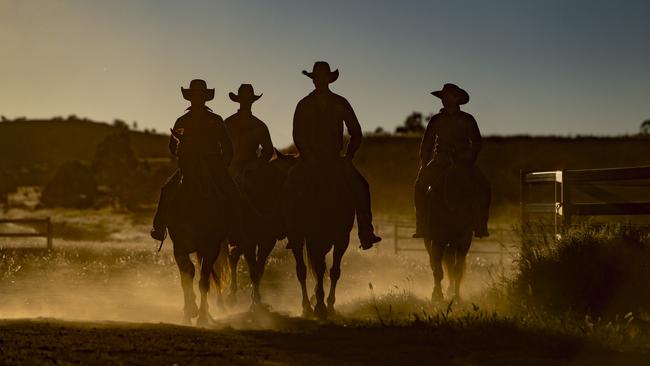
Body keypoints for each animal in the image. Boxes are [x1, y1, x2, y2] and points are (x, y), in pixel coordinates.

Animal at [167, 167, 230, 326]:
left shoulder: (210, 249)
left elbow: (203, 282)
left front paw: (201, 316)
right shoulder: (179, 248)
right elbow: (186, 276)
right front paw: (189, 311)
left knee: (207, 278)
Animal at [286, 159, 352, 318]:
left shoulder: (341, 239)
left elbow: (334, 271)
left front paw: (328, 305)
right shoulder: (315, 239)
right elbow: (319, 269)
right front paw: (321, 306)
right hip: (300, 238)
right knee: (303, 270)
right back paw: (308, 307)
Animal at [422, 162, 478, 302]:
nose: (454, 206)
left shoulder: (464, 241)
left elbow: (457, 270)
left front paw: (456, 297)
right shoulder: (436, 240)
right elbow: (437, 269)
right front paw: (438, 296)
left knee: (451, 266)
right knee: (437, 265)